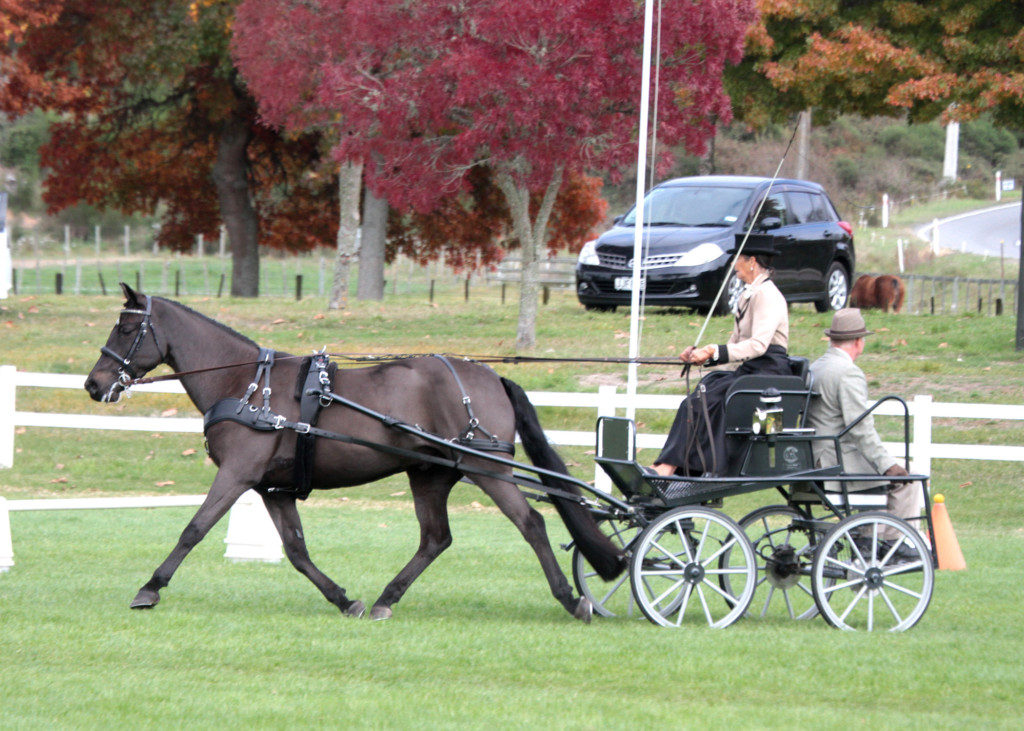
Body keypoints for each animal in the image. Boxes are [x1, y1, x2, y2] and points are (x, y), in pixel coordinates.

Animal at [83, 284, 618, 622]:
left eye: (126, 330)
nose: (93, 383)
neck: (247, 384)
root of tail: (490, 375)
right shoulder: (274, 489)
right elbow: (297, 550)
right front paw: (343, 600)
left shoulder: (238, 474)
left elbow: (193, 529)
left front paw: (150, 588)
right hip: (430, 474)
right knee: (435, 539)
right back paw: (385, 599)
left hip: (485, 467)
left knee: (532, 524)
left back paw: (571, 600)